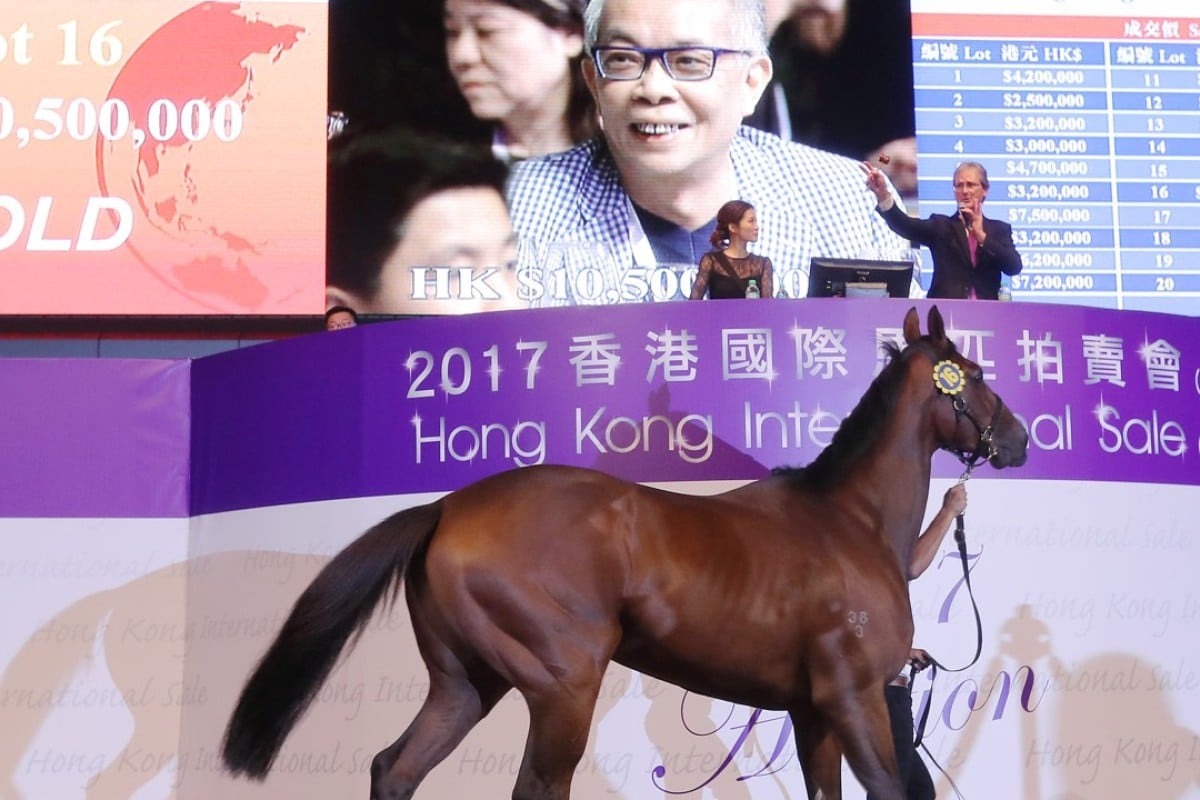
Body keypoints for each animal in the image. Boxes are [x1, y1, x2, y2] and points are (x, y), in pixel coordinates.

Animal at [223, 307, 1022, 800]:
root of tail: (448, 507)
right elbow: (887, 788)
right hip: (561, 687)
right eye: (977, 375)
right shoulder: (854, 699)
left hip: (466, 684)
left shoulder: (812, 712)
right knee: (535, 787)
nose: (1016, 440)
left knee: (395, 769)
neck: (849, 521)